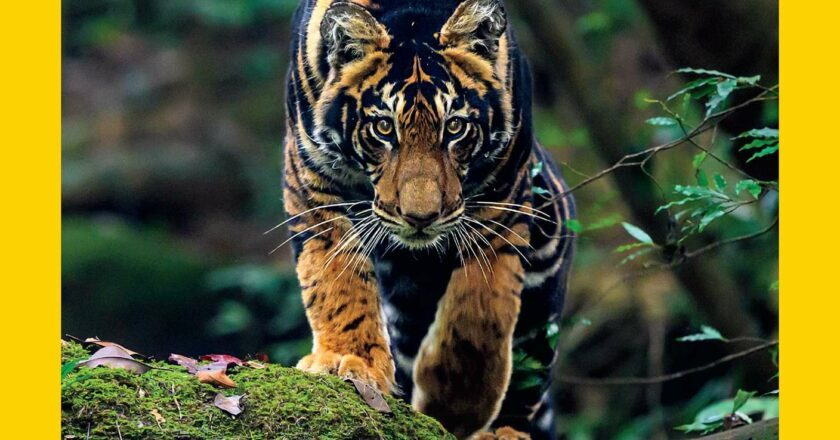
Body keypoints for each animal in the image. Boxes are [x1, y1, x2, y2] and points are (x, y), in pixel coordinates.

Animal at [281, 0, 575, 438]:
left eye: (454, 127)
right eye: (383, 128)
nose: (420, 217)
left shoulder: (503, 193)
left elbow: (481, 307)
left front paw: (458, 402)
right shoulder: (312, 179)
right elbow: (336, 281)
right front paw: (349, 361)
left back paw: (503, 431)